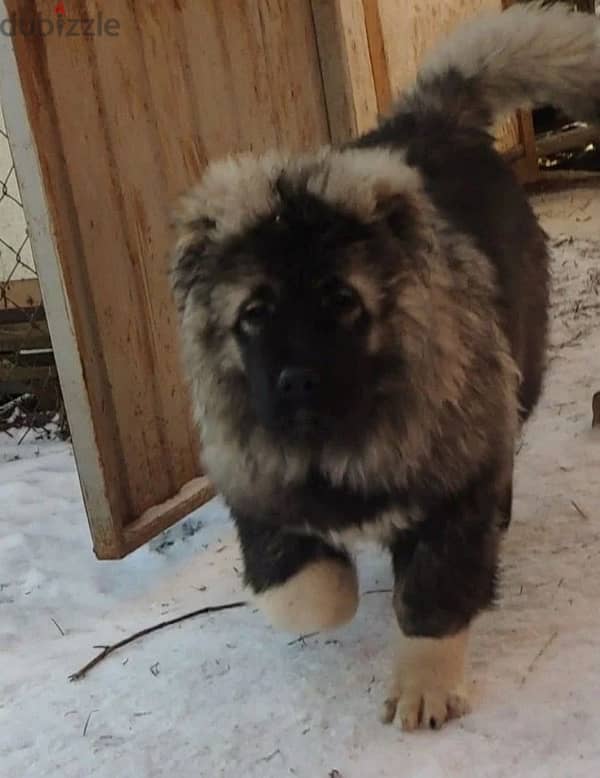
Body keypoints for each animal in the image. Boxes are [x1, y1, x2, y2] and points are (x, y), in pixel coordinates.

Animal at [169, 1, 600, 728]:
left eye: (342, 301)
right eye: (254, 313)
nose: (296, 381)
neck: (341, 437)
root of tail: (434, 118)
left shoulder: (455, 490)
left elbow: (430, 597)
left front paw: (425, 687)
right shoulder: (254, 480)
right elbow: (309, 594)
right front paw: (336, 584)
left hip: (520, 370)